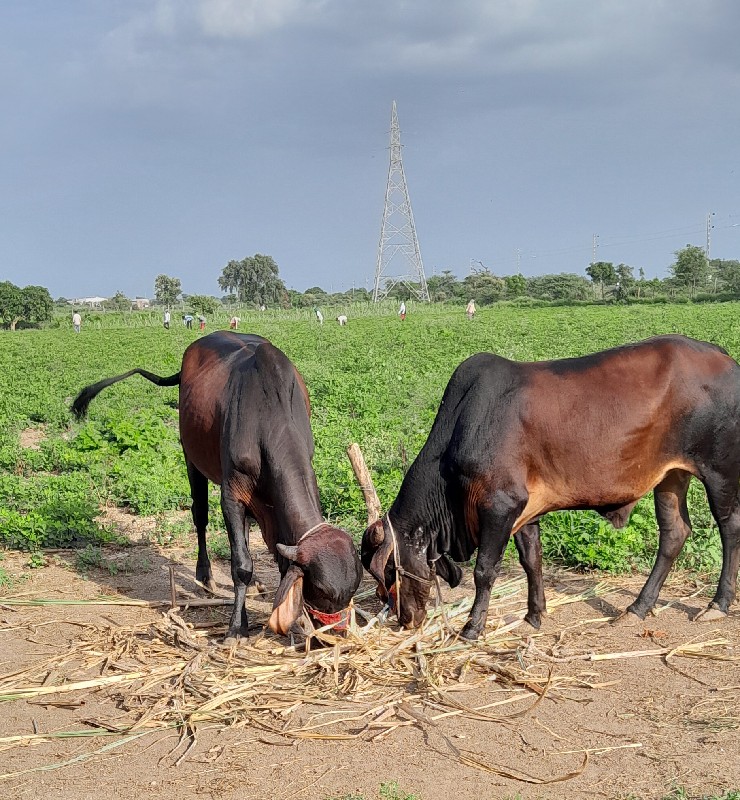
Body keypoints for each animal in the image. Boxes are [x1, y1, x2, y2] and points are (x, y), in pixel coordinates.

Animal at [73, 332, 362, 644]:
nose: (334, 635)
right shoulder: (231, 494)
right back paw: (205, 574)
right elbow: (241, 565)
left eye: (352, 591)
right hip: (191, 457)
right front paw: (237, 627)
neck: (268, 419)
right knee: (199, 515)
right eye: (321, 590)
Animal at [362, 334, 740, 640]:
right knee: (674, 533)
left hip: (719, 471)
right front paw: (534, 614)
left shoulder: (500, 504)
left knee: (729, 528)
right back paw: (637, 608)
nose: (406, 619)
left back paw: (717, 604)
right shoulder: (525, 510)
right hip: (670, 476)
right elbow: (532, 560)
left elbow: (485, 570)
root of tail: (723, 357)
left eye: (389, 571)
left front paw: (472, 627)